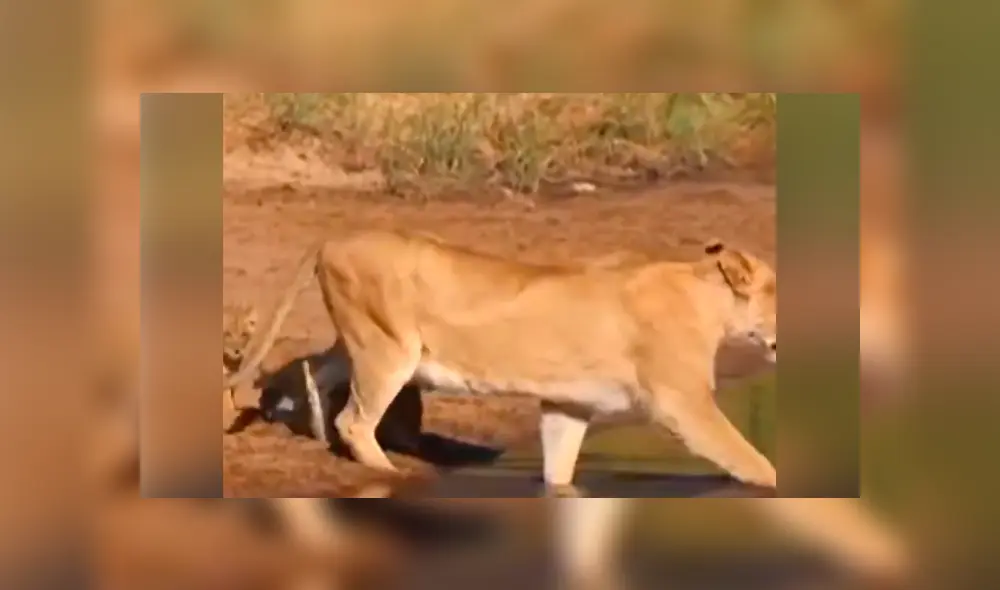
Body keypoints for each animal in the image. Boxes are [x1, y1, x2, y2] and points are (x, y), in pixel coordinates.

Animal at [224, 229, 777, 493]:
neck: (708, 296)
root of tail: (332, 239)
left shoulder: (567, 406)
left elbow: (559, 471)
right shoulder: (683, 403)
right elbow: (753, 461)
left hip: (360, 341)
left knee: (314, 371)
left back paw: (314, 431)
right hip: (390, 348)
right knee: (356, 419)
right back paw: (388, 471)